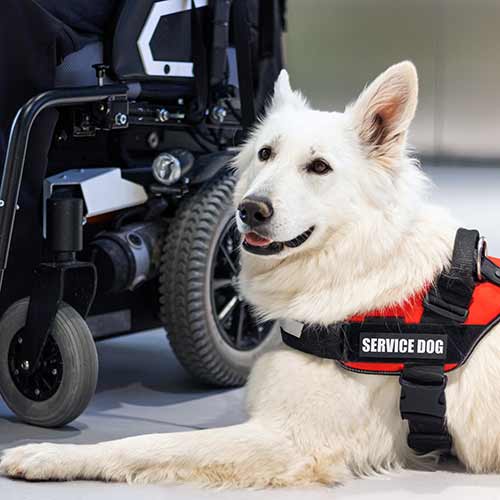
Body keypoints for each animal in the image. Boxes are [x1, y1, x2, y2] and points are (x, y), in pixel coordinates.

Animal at [1, 62, 498, 488]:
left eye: (319, 167)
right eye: (265, 153)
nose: (249, 210)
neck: (357, 263)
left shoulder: (293, 441)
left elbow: (147, 442)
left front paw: (45, 455)